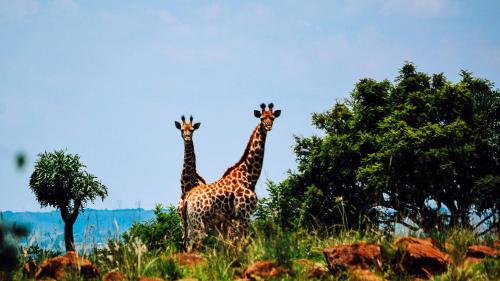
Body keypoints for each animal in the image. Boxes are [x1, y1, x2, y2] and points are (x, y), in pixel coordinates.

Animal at [183, 102, 282, 249]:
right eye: (262, 118)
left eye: (273, 118)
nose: (268, 126)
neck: (249, 176)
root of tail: (187, 198)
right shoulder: (244, 213)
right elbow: (243, 242)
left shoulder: (233, 218)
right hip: (198, 223)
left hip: (190, 223)